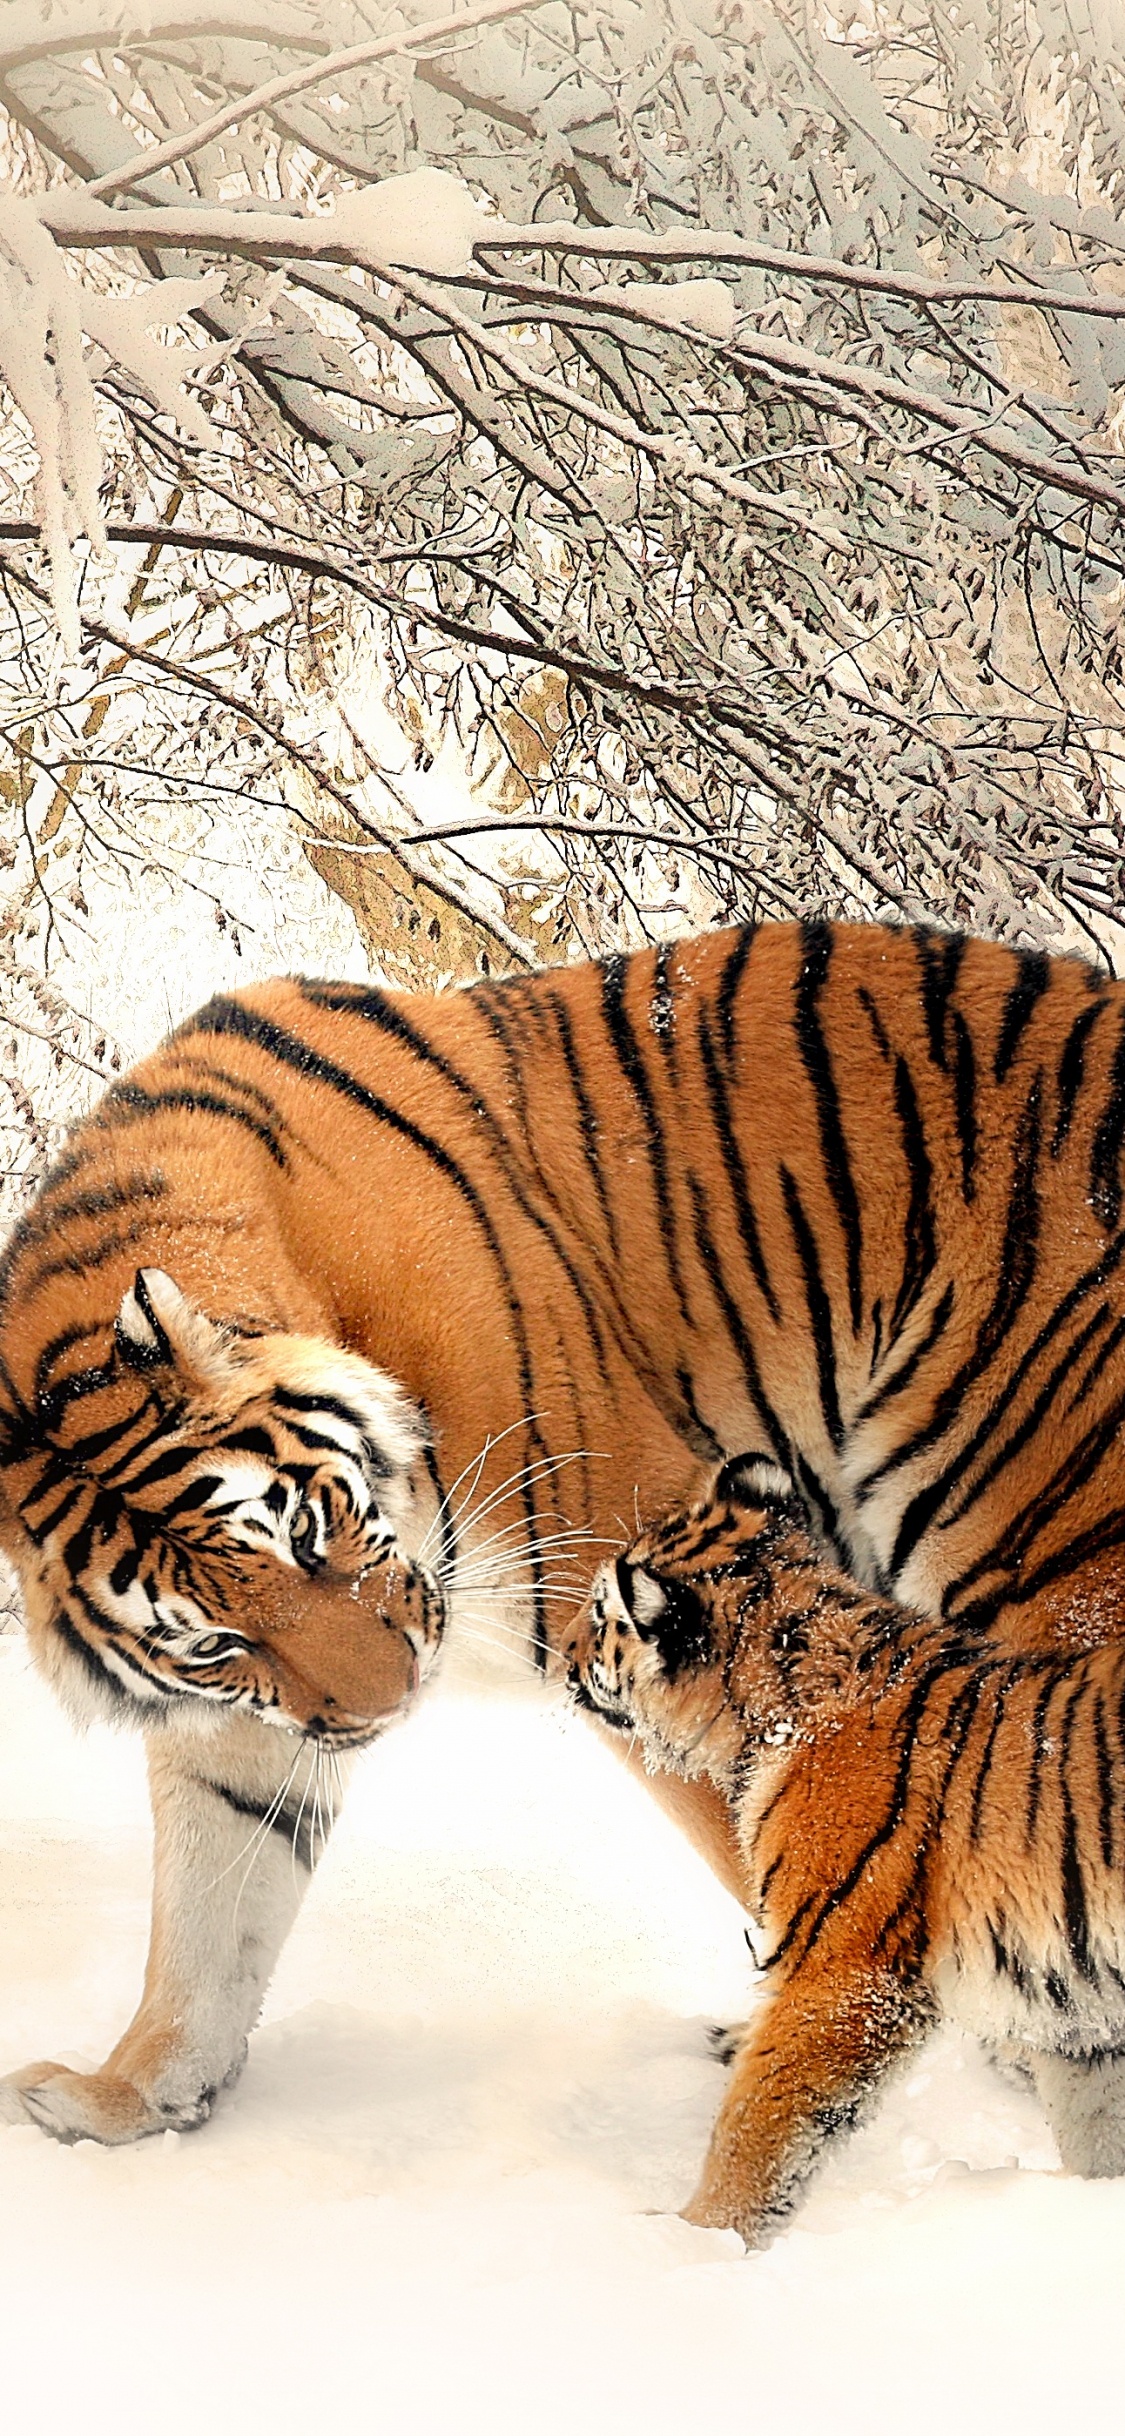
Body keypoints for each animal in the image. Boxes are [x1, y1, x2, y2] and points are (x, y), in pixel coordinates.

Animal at [3, 916, 1125, 2150]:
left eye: (301, 1528)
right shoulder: (256, 1718)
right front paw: (129, 2096)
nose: (393, 1703)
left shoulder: (641, 1570)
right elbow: (209, 1910)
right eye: (211, 1642)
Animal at [565, 1455, 1125, 2246]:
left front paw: (692, 2240)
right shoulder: (1081, 2018)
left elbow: (756, 2126)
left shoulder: (840, 1973)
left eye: (597, 1615)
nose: (560, 1656)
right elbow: (1095, 2131)